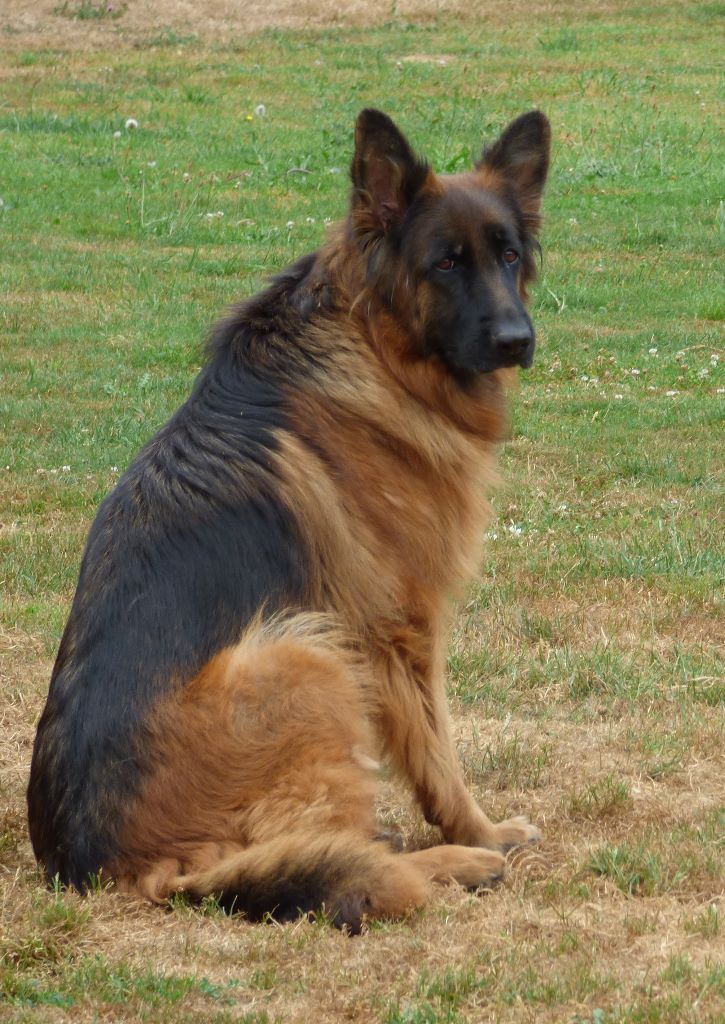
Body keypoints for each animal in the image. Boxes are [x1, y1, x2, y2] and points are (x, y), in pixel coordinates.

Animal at [26, 108, 548, 933]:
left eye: (506, 255)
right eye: (444, 263)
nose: (515, 340)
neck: (371, 339)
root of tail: (105, 868)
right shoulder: (400, 633)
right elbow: (438, 752)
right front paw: (482, 831)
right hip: (303, 651)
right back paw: (454, 863)